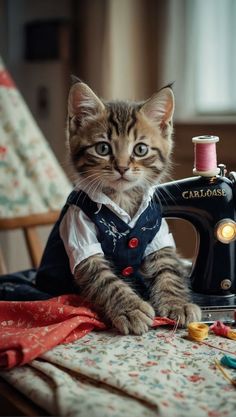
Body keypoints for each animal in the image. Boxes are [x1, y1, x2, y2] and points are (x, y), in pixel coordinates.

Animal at [36, 80, 201, 334]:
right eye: (103, 149)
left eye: (140, 149)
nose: (122, 167)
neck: (122, 198)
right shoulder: (79, 233)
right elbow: (105, 279)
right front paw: (130, 309)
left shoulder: (158, 234)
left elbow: (167, 269)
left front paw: (177, 303)